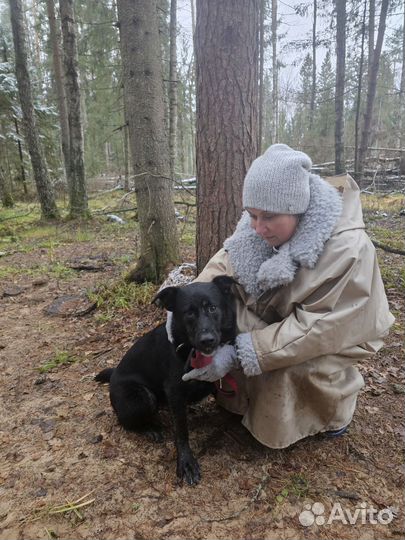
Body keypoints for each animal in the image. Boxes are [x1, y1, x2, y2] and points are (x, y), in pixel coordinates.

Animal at [94, 274, 235, 486]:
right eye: (188, 313)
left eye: (212, 307)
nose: (207, 340)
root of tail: (114, 375)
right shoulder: (174, 392)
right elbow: (181, 431)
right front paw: (186, 463)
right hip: (143, 398)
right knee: (125, 421)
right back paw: (149, 429)